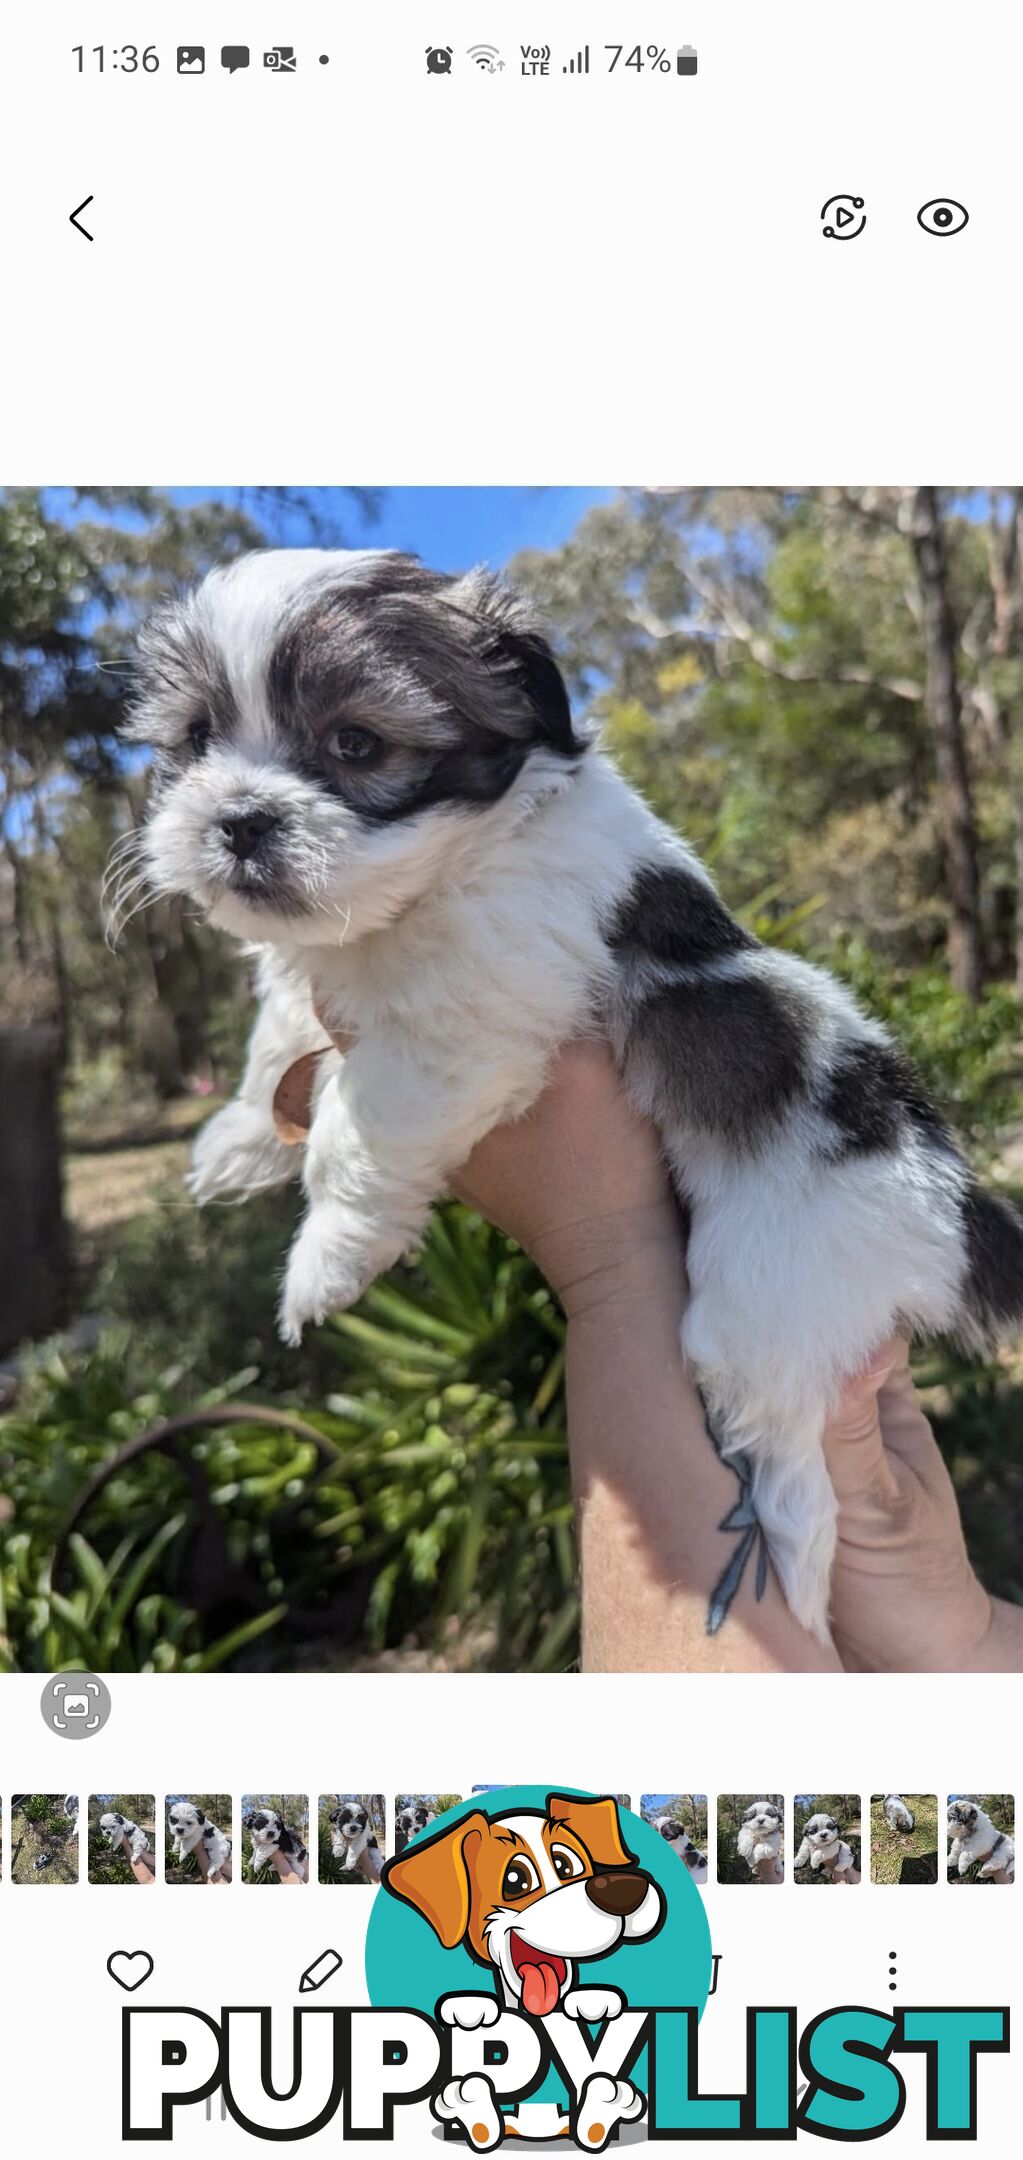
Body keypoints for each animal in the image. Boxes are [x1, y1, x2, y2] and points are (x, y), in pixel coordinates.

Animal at [125, 552, 1023, 1632]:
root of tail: (960, 1207)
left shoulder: (467, 1020)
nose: (239, 819)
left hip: (769, 1306)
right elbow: (284, 1034)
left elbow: (356, 1129)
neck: (438, 874)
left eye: (356, 743)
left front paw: (324, 1260)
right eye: (196, 740)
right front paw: (239, 1140)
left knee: (795, 1469)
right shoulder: (333, 975)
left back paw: (786, 1577)